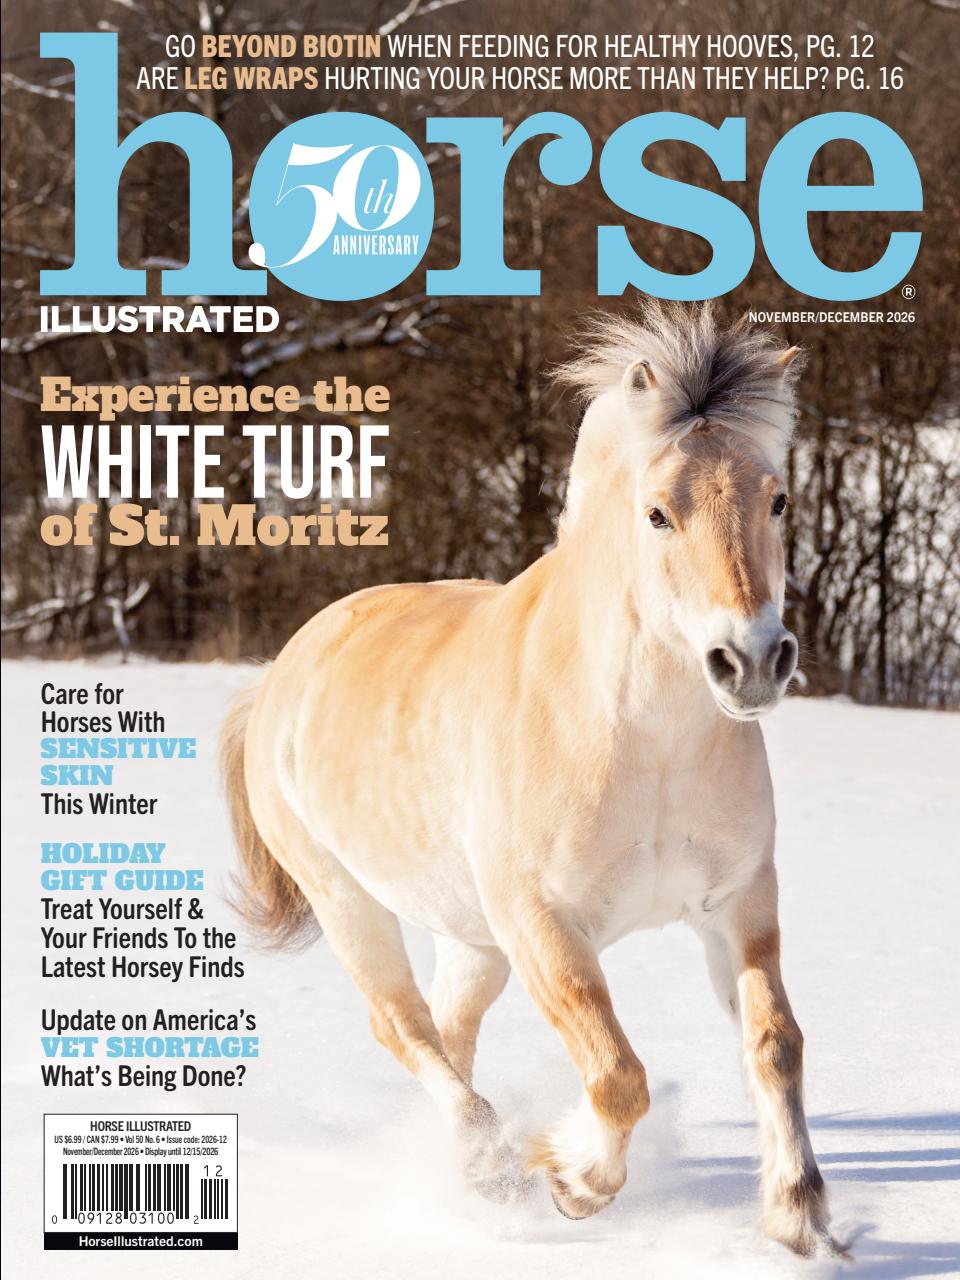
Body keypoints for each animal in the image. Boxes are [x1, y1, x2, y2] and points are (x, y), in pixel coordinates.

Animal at [222, 302, 844, 1258]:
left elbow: (776, 1043)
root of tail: (286, 667)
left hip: (471, 939)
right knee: (401, 1025)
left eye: (776, 498)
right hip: (350, 901)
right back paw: (488, 1166)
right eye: (657, 513)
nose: (750, 663)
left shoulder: (739, 902)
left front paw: (799, 1215)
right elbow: (617, 1072)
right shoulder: (544, 925)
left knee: (449, 1031)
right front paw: (574, 1182)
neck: (645, 741)